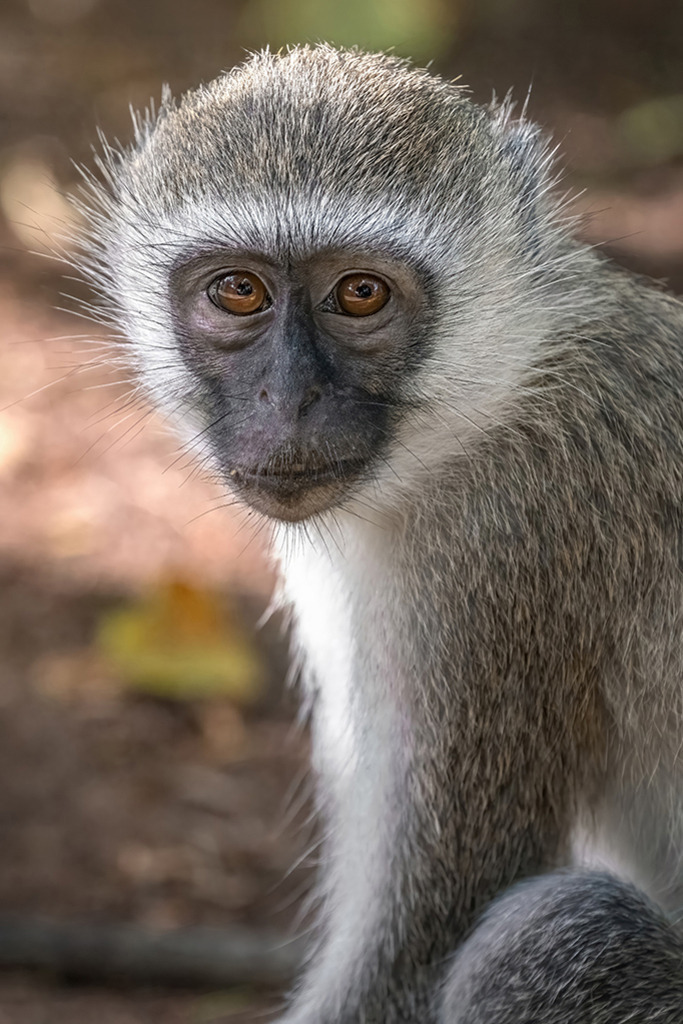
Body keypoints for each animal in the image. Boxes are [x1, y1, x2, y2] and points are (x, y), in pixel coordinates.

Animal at [74, 45, 683, 1023]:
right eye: (238, 290)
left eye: (359, 294)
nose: (288, 401)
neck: (498, 397)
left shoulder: (497, 553)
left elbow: (419, 944)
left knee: (554, 930)